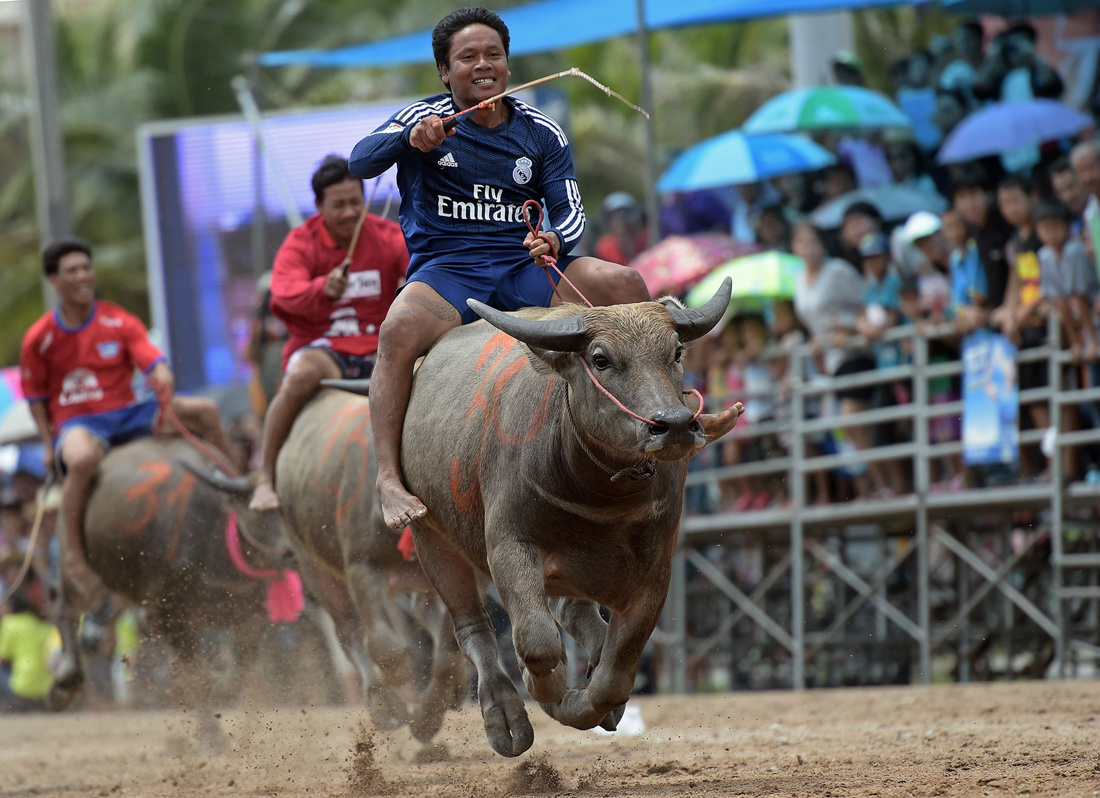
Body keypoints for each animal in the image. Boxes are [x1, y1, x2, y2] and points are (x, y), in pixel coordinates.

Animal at [50, 435, 288, 739]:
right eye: (259, 512)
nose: (290, 552)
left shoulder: (252, 621)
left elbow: (235, 676)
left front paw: (218, 683)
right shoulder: (171, 617)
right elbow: (198, 676)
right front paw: (211, 736)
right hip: (76, 572)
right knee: (64, 608)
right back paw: (65, 682)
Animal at [391, 278, 743, 752]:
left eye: (676, 352)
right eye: (600, 359)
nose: (672, 424)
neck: (600, 496)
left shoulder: (656, 572)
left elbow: (615, 675)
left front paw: (586, 700)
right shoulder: (509, 545)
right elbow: (538, 642)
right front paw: (546, 685)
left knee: (575, 615)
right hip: (432, 538)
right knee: (471, 629)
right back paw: (504, 717)